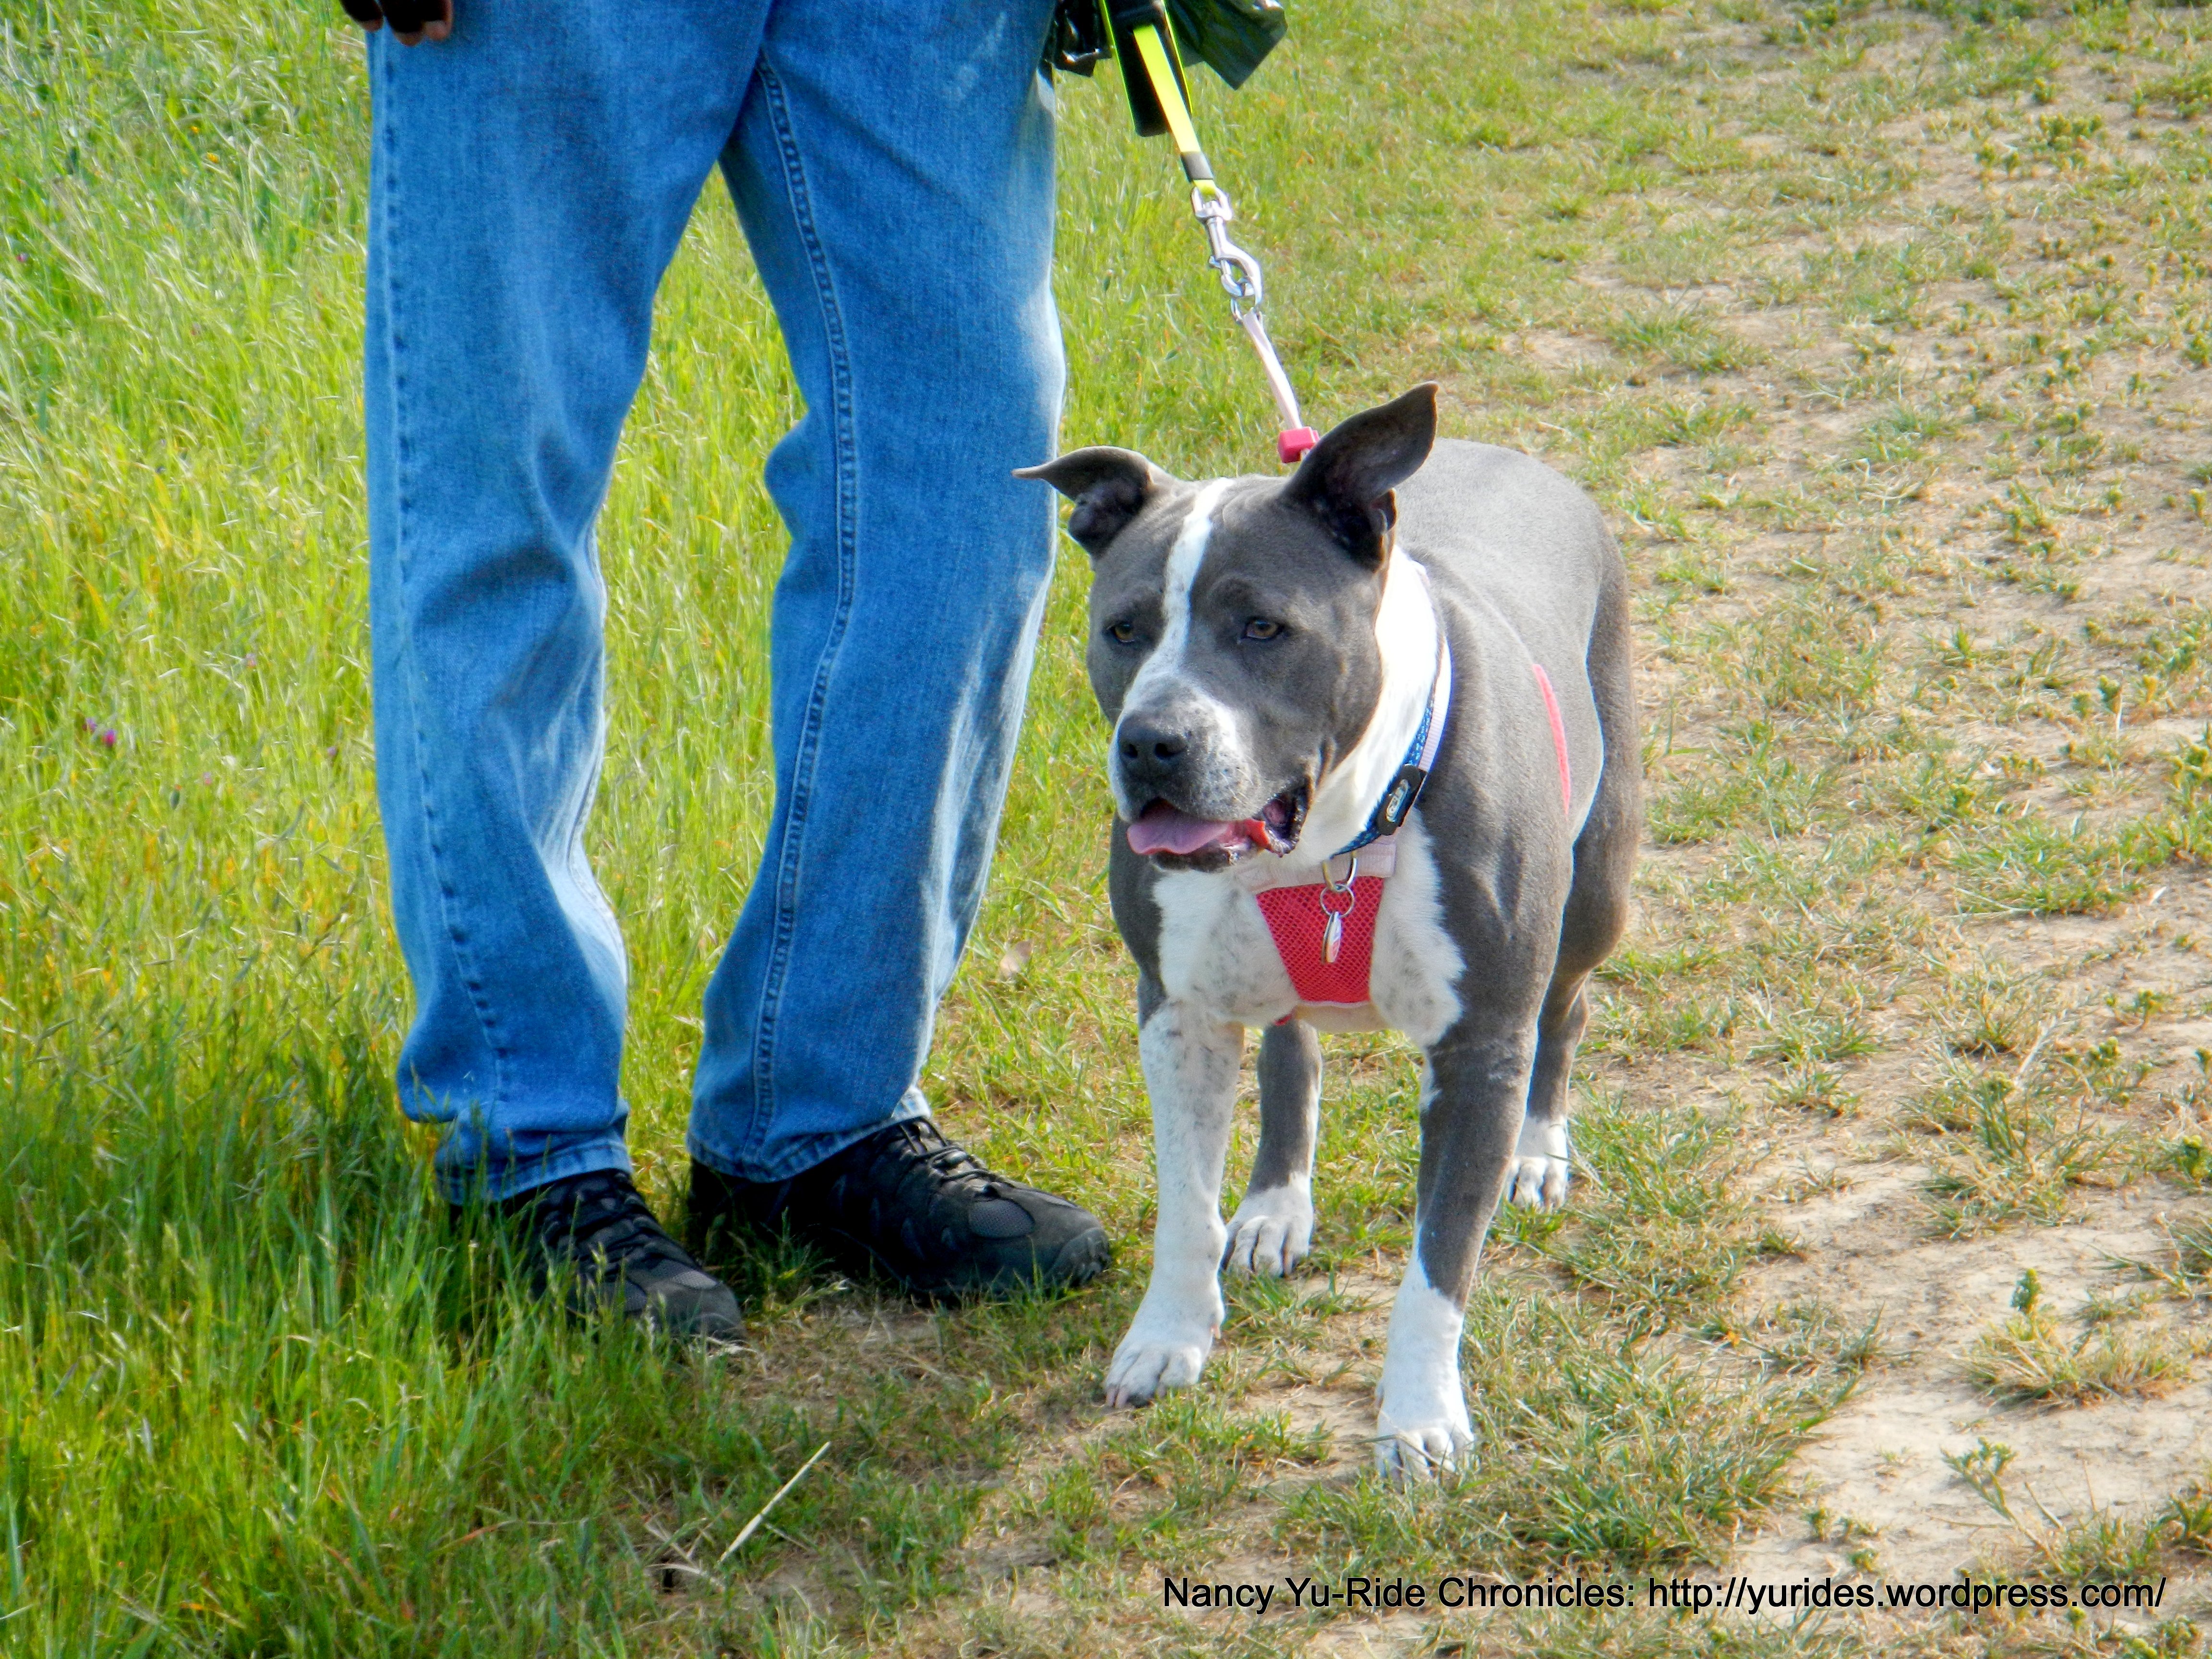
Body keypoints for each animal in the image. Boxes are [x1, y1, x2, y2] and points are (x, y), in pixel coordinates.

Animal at [1018, 384, 1641, 1476]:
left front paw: (1420, 1418)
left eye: (1264, 627)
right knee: (1291, 1050)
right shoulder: (1176, 1012)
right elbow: (1183, 1206)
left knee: (1566, 1011)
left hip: (1594, 889)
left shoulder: (1479, 1047)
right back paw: (1275, 1206)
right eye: (1122, 629)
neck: (1333, 841)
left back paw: (1537, 1151)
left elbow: (1438, 1267)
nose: (1151, 742)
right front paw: (1167, 1336)